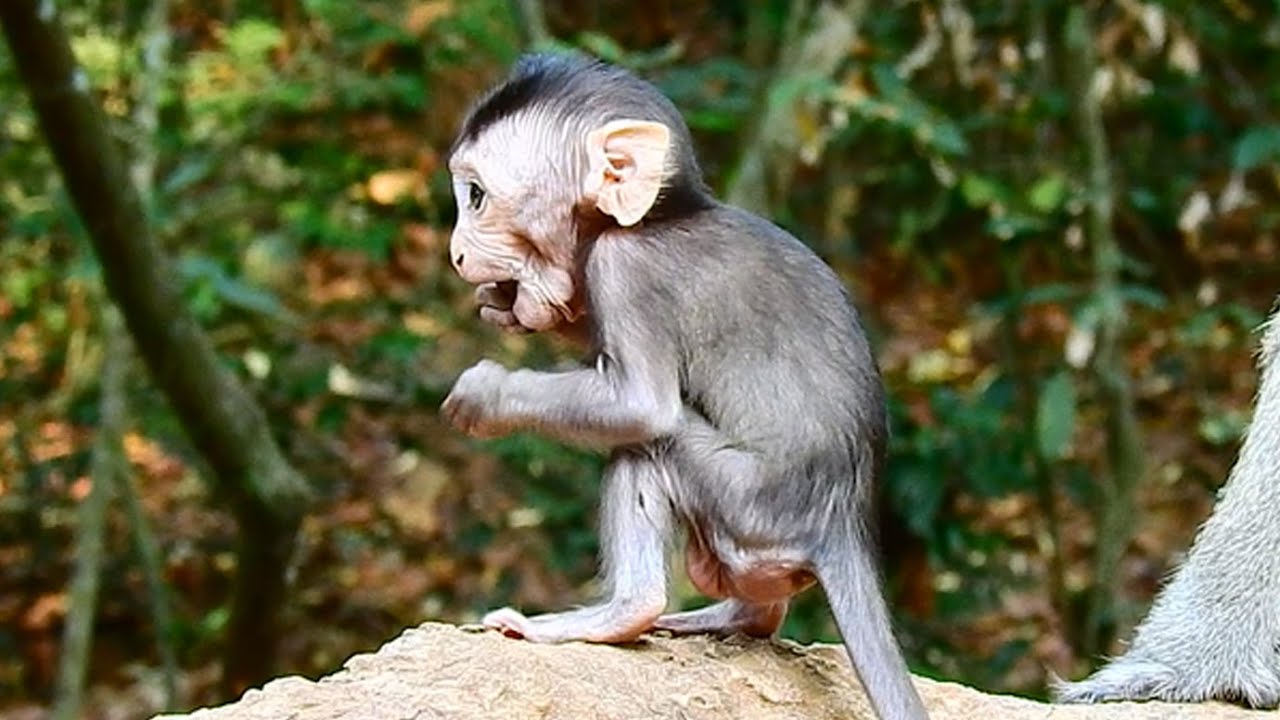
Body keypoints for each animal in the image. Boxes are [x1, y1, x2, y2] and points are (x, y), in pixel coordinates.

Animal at [440, 53, 929, 720]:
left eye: (477, 196)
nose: (456, 253)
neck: (664, 215)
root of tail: (841, 522)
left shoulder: (626, 269)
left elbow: (641, 406)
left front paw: (487, 392)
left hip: (749, 507)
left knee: (649, 449)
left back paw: (623, 613)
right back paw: (741, 617)